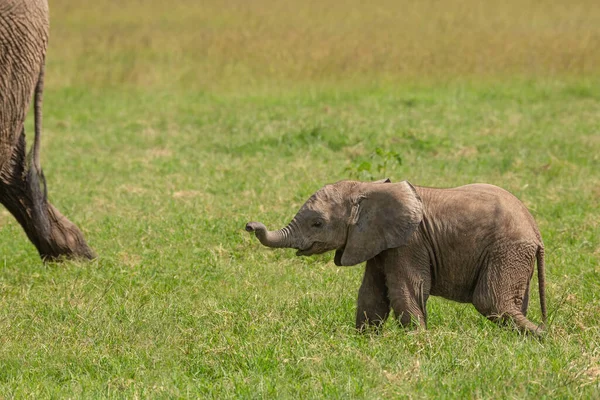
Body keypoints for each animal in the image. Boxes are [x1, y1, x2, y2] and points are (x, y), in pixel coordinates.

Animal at [246, 178, 548, 334]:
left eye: (317, 223)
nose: (249, 225)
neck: (366, 187)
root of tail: (536, 230)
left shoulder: (409, 242)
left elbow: (406, 289)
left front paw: (417, 341)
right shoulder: (375, 240)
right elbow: (371, 293)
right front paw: (364, 341)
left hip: (506, 250)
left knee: (491, 301)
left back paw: (542, 337)